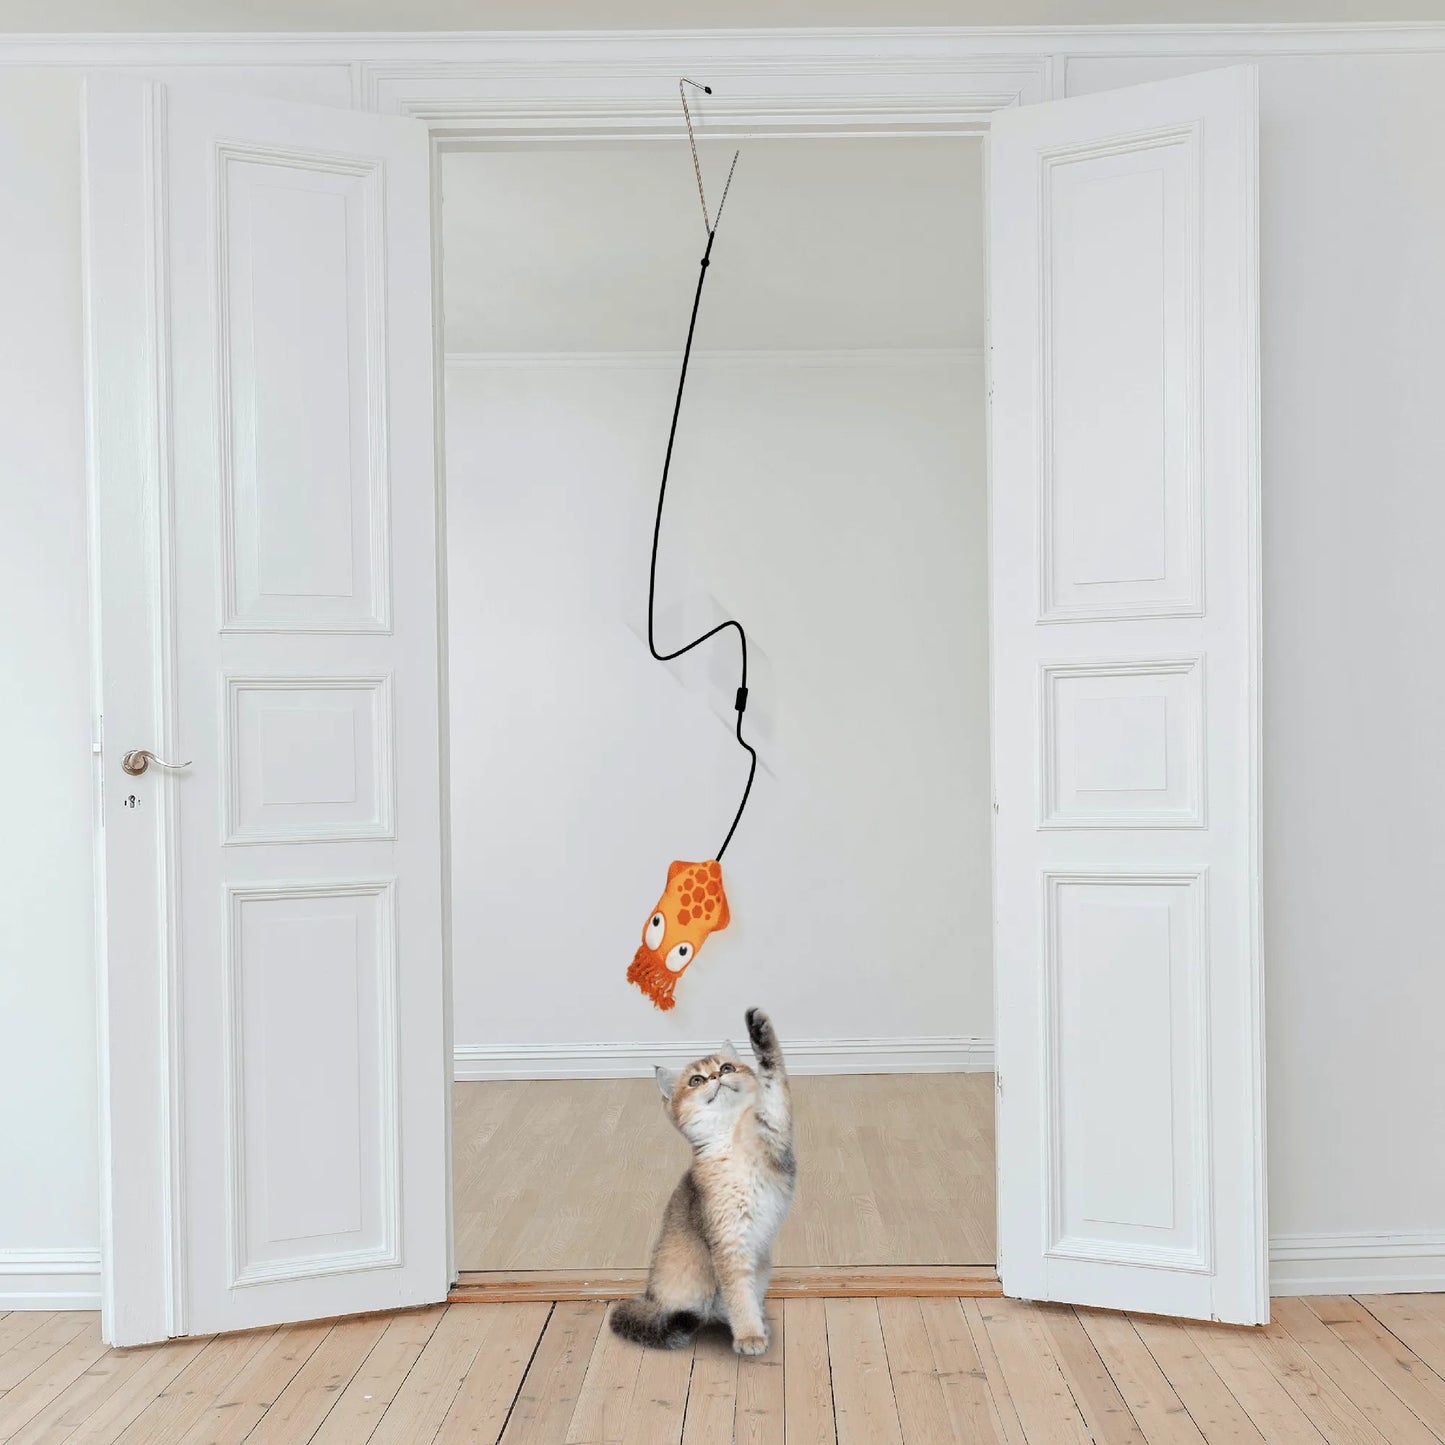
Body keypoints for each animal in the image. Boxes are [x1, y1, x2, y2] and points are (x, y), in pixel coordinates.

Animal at [606, 1005, 797, 1352]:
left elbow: (773, 1078)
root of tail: (649, 1297)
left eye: (726, 1066)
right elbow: (738, 1295)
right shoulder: (728, 1240)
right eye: (696, 1080)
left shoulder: (775, 1130)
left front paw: (759, 1028)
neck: (731, 1136)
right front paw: (749, 1336)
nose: (717, 1076)